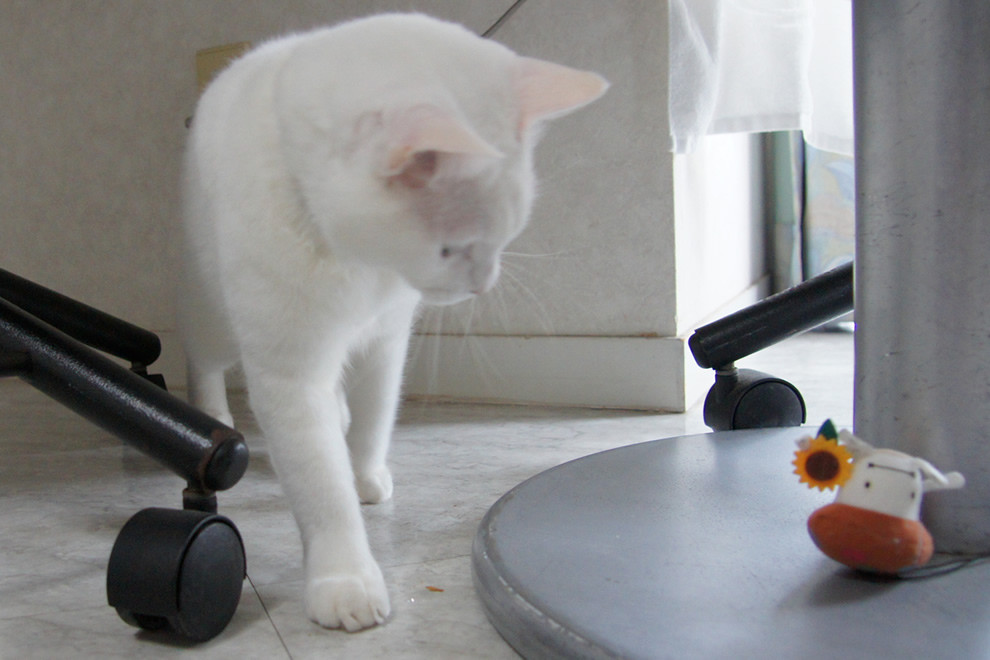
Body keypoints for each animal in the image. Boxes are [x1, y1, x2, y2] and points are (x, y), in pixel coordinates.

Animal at [177, 13, 607, 631]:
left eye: (508, 235)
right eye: (452, 249)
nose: (483, 284)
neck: (360, 267)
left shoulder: (384, 340)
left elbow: (374, 420)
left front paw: (364, 475)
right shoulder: (291, 373)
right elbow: (321, 488)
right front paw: (344, 579)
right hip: (211, 311)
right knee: (202, 359)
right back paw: (211, 415)